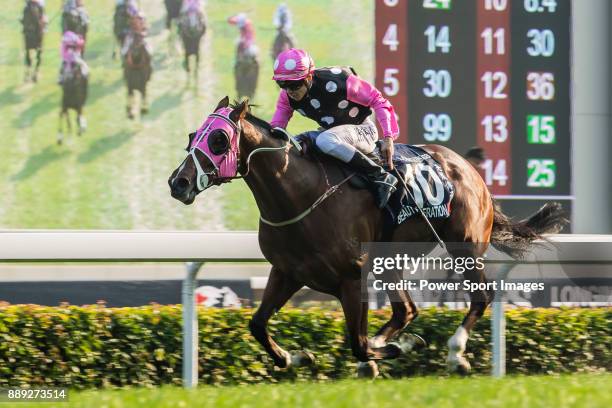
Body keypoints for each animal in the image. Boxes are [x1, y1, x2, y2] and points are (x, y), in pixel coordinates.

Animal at [169, 97, 568, 378]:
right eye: (191, 137)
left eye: (219, 140)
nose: (179, 182)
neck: (299, 194)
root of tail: (470, 169)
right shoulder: (288, 271)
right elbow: (257, 324)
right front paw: (296, 356)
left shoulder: (351, 276)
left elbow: (358, 344)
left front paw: (396, 350)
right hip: (391, 260)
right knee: (406, 309)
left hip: (464, 246)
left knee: (479, 296)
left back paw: (455, 352)